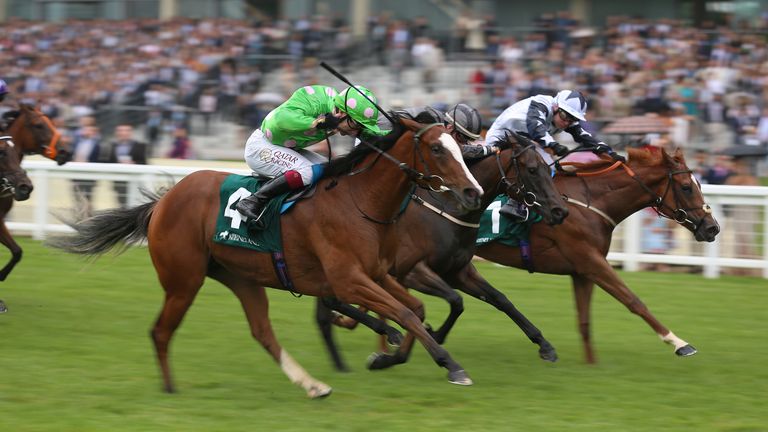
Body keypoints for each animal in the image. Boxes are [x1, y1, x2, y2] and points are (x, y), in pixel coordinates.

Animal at [51, 117, 486, 398]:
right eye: (437, 149)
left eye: (461, 148)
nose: (473, 193)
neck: (360, 201)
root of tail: (163, 201)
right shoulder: (348, 278)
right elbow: (406, 313)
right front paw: (452, 366)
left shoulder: (379, 273)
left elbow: (414, 309)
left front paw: (391, 356)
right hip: (183, 280)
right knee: (160, 331)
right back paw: (170, 388)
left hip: (240, 276)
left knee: (262, 332)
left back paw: (313, 385)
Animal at [314, 134, 568, 372]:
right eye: (532, 169)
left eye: (548, 168)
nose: (560, 211)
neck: (448, 210)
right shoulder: (412, 271)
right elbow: (456, 301)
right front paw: (433, 336)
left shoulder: (457, 271)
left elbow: (500, 299)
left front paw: (544, 345)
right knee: (334, 301)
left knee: (332, 302)